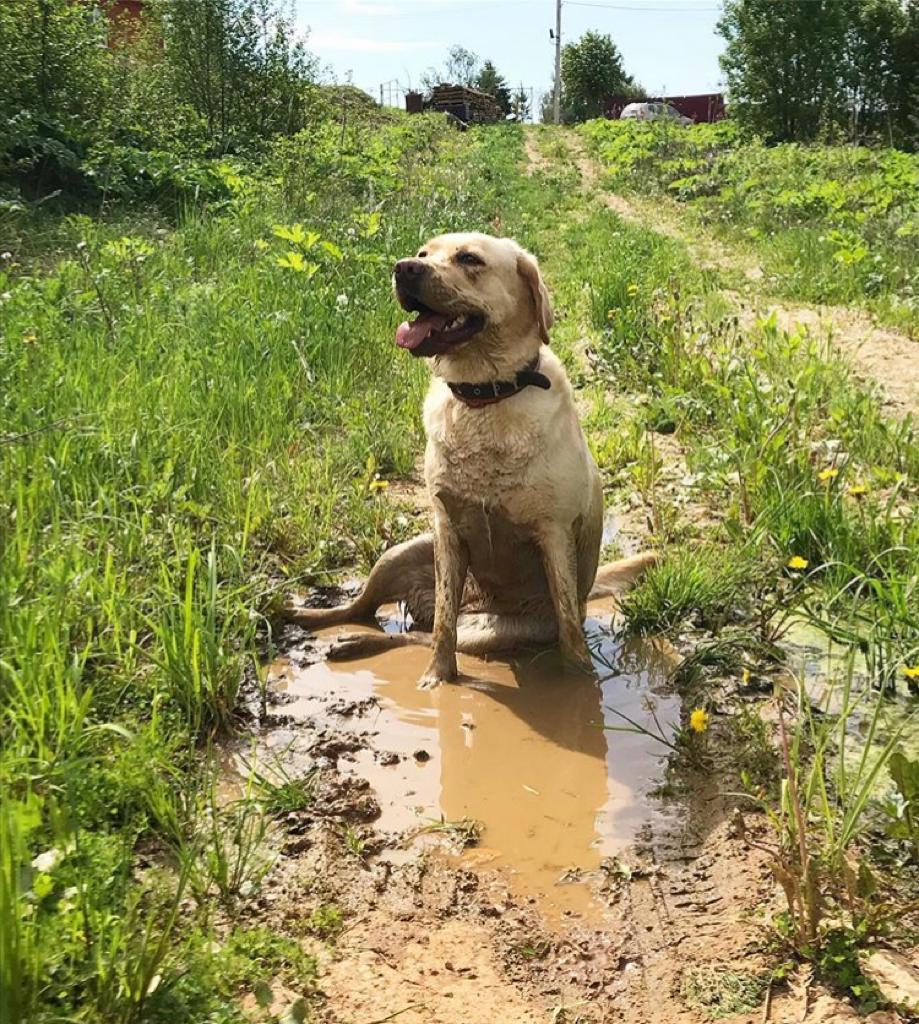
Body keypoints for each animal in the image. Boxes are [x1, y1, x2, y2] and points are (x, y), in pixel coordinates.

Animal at [286, 234, 651, 688]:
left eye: (469, 259)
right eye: (423, 254)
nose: (403, 268)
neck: (484, 396)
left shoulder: (553, 534)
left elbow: (569, 629)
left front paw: (580, 686)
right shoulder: (447, 530)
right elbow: (445, 621)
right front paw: (437, 679)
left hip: (488, 630)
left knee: (413, 635)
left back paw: (356, 642)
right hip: (401, 553)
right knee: (369, 611)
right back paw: (310, 618)